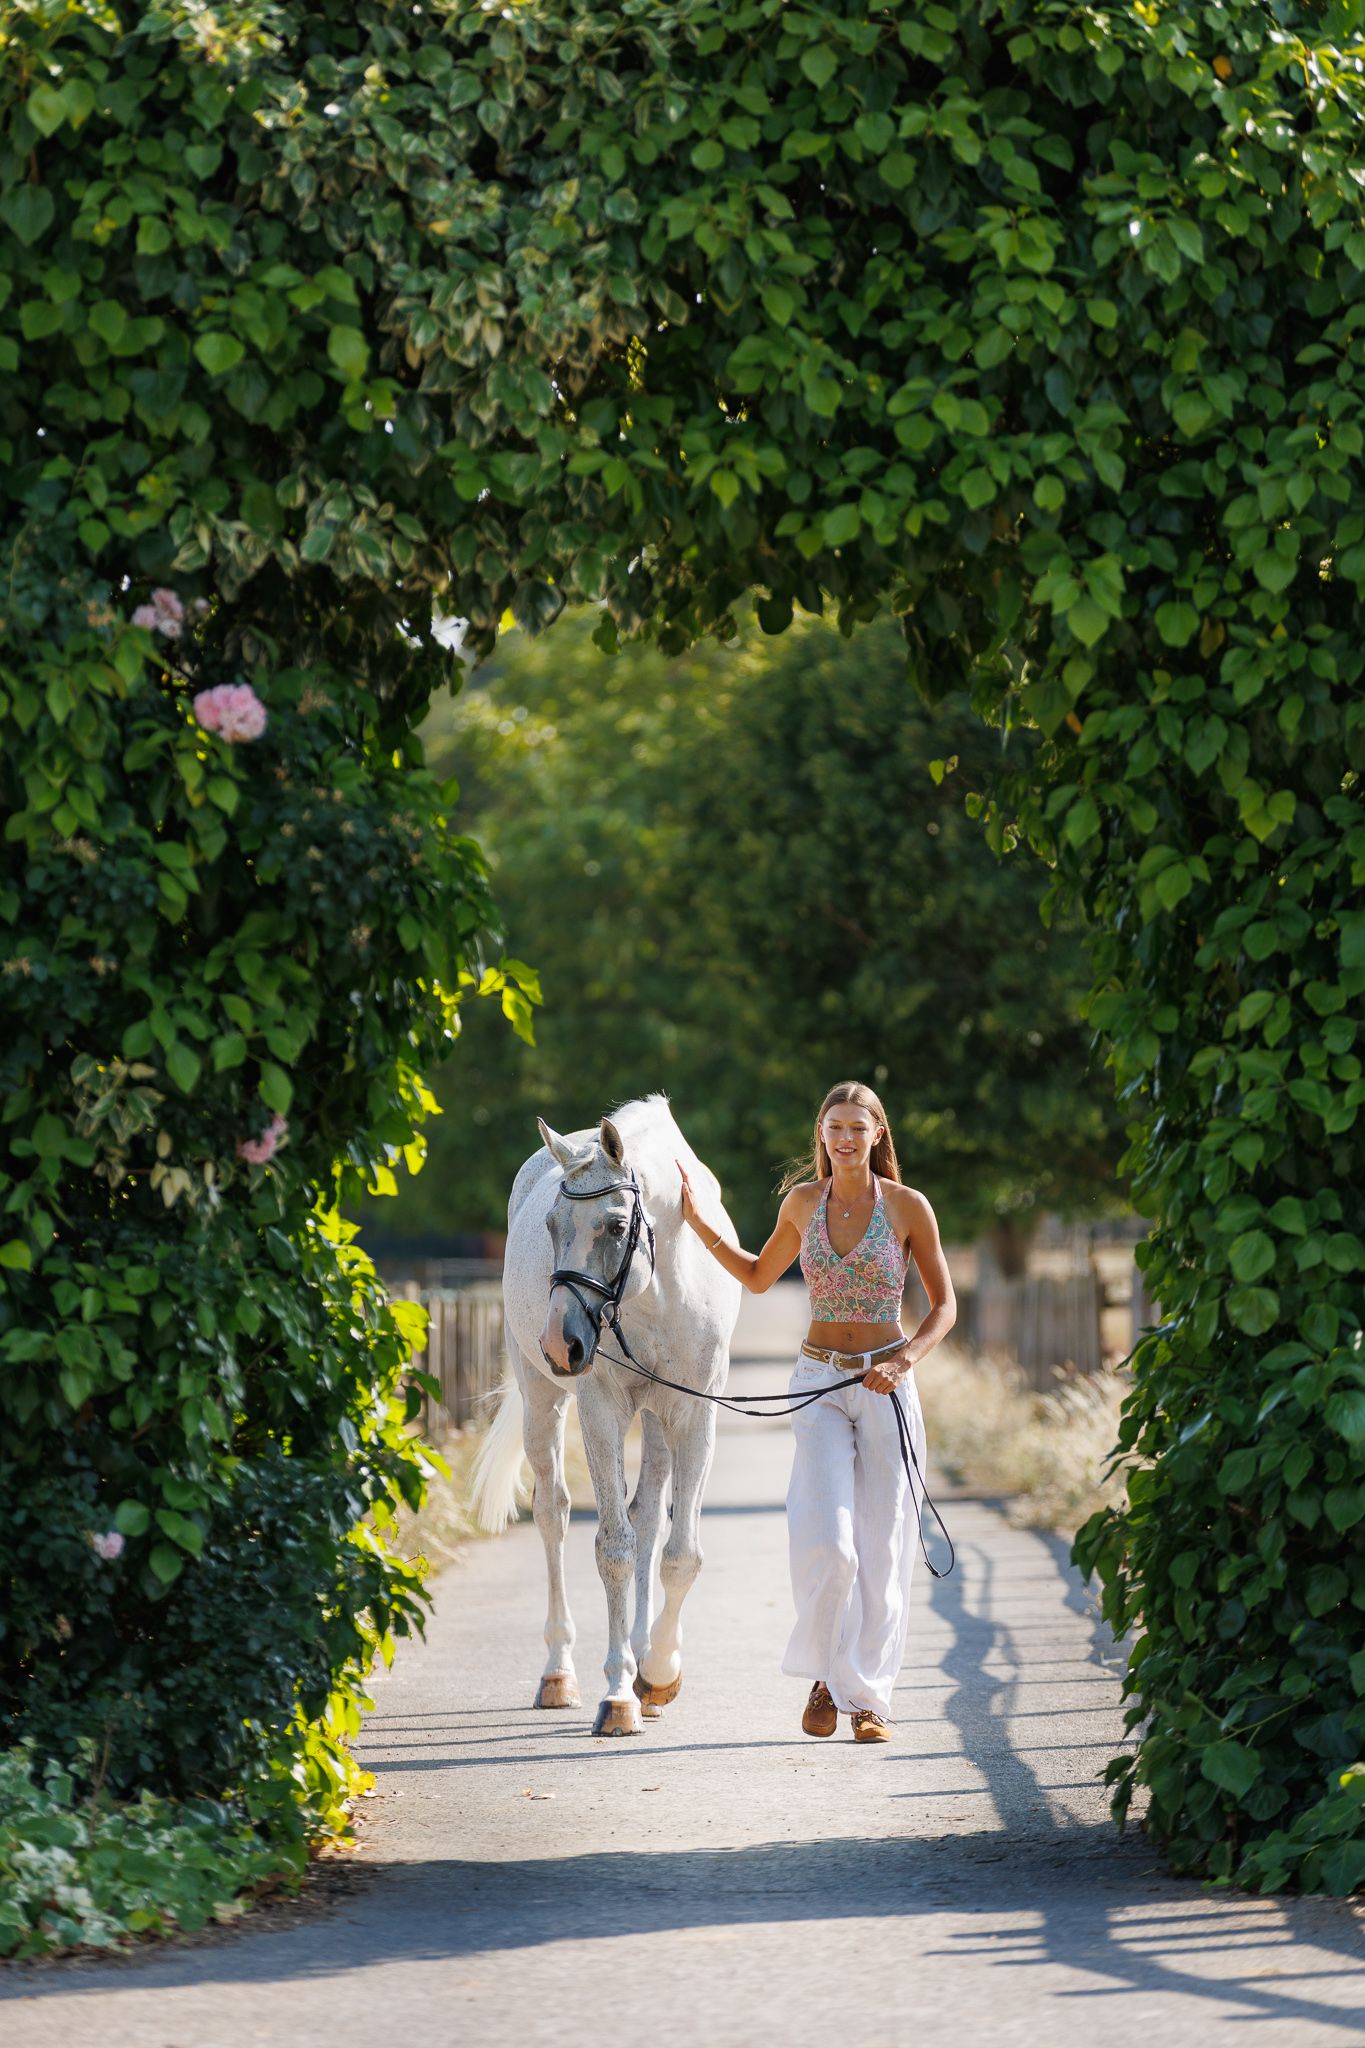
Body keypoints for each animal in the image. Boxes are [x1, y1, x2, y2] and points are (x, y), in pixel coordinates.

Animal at [472, 1095, 742, 1735]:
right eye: (551, 1226)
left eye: (617, 1227)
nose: (560, 1343)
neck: (659, 1291)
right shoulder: (601, 1411)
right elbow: (613, 1549)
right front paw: (619, 1693)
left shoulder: (692, 1414)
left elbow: (678, 1553)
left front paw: (658, 1673)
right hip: (542, 1402)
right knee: (553, 1513)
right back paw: (558, 1675)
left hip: (659, 1423)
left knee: (648, 1517)